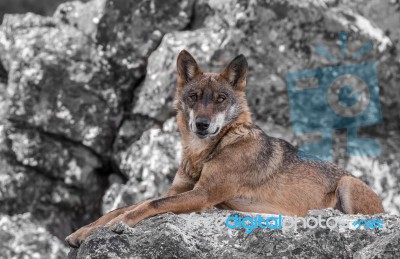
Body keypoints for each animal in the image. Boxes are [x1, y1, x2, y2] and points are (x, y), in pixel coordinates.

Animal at [66, 50, 384, 248]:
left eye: (220, 98)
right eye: (194, 97)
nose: (202, 124)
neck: (202, 153)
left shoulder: (204, 195)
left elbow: (148, 205)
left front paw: (117, 225)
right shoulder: (178, 190)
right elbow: (123, 206)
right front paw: (84, 231)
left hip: (347, 184)